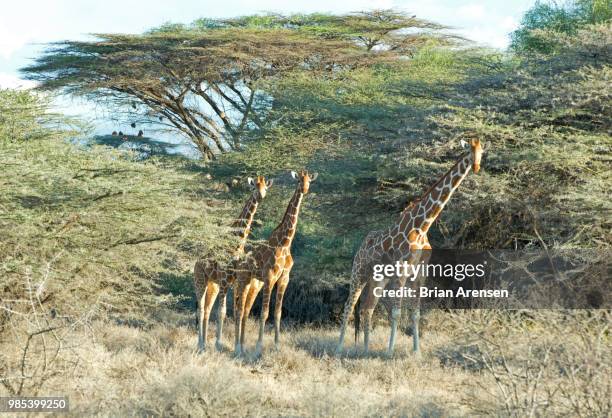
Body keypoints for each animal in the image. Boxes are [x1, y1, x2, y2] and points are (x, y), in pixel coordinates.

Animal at [194, 175, 272, 352]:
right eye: (254, 187)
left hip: (213, 284)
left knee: (207, 309)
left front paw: (229, 345)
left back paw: (204, 343)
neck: (238, 243)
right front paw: (219, 343)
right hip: (200, 280)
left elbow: (235, 311)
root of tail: (196, 261)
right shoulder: (224, 279)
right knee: (200, 308)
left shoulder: (234, 281)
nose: (261, 196)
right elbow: (222, 312)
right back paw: (200, 343)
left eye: (265, 187)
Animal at [233, 170, 318, 356]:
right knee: (239, 309)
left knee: (244, 310)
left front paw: (277, 345)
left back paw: (241, 345)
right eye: (299, 180)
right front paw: (259, 346)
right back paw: (237, 347)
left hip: (253, 283)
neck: (285, 243)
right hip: (243, 280)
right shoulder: (270, 277)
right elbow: (264, 313)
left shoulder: (284, 278)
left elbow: (278, 313)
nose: (305, 189)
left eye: (309, 180)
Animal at [338, 139, 486, 354]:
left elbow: (416, 314)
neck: (423, 226)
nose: (475, 166)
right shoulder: (401, 270)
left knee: (367, 308)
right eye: (469, 150)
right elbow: (397, 312)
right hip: (359, 273)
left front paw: (417, 351)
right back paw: (338, 348)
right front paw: (389, 352)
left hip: (378, 279)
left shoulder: (420, 272)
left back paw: (365, 349)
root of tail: (360, 248)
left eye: (481, 151)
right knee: (349, 306)